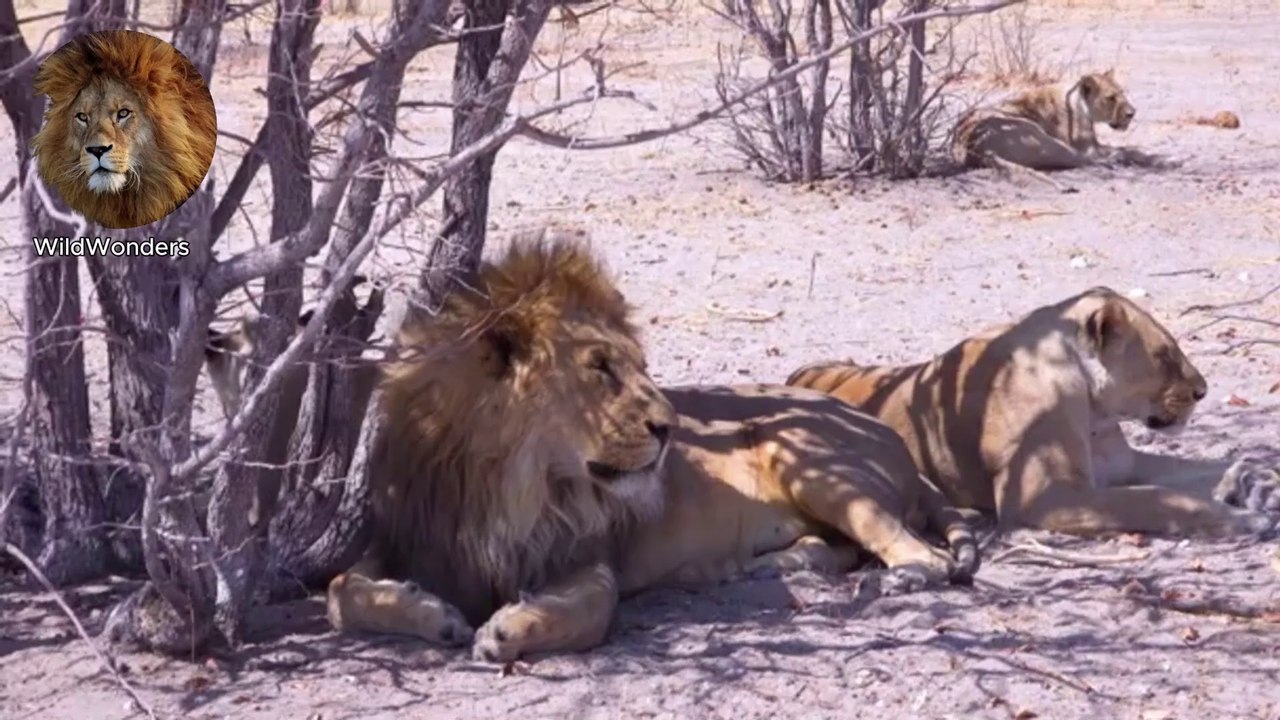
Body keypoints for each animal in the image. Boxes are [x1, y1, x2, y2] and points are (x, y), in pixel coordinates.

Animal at [207, 232, 979, 663]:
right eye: (600, 368)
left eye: (639, 365)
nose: (671, 428)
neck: (507, 482)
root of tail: (886, 432)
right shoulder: (408, 542)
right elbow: (342, 592)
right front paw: (435, 617)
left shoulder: (584, 556)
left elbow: (591, 610)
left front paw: (511, 630)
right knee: (839, 547)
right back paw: (759, 568)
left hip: (813, 461)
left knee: (916, 549)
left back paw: (901, 578)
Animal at [787, 286, 1280, 539]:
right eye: (1163, 355)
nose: (1202, 391)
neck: (1094, 412)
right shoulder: (1046, 497)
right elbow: (1160, 500)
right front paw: (1244, 518)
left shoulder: (1124, 464)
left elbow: (1199, 468)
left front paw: (1256, 481)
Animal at [951, 69, 1136, 193]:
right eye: (1110, 98)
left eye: (1122, 93)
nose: (1132, 113)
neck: (1077, 100)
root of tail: (975, 146)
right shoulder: (1088, 148)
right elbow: (1125, 150)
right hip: (1046, 140)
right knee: (1083, 160)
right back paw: (1113, 162)